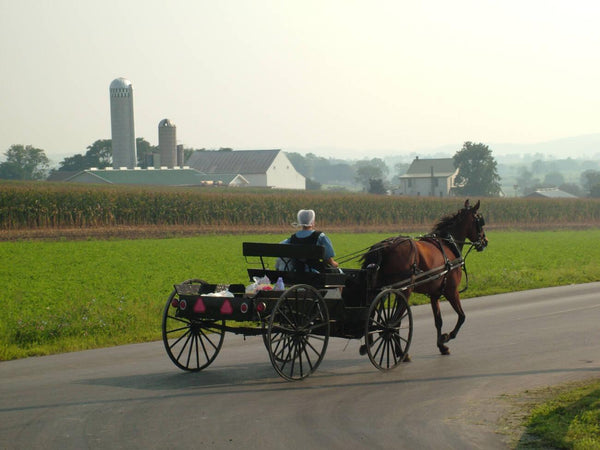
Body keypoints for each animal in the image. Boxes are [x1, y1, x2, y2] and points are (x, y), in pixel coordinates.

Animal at [360, 199, 488, 356]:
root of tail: (383, 247)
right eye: (480, 221)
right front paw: (447, 337)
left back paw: (370, 344)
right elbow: (462, 316)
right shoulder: (451, 291)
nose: (485, 241)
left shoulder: (435, 294)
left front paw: (441, 346)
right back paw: (401, 352)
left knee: (372, 315)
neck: (449, 243)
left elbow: (438, 321)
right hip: (404, 291)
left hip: (382, 290)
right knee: (394, 322)